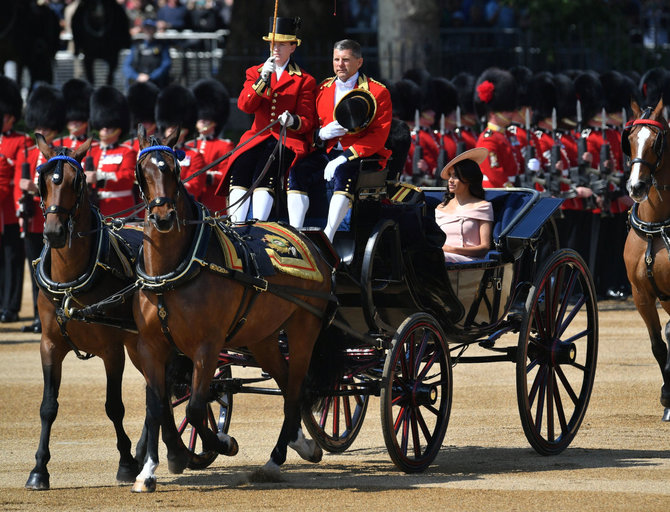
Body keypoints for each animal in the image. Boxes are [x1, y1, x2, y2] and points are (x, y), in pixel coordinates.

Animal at [24, 138, 189, 490]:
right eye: (42, 181)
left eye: (76, 182)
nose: (54, 232)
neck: (71, 280)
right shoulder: (49, 346)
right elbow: (47, 407)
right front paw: (39, 469)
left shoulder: (112, 350)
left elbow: (114, 406)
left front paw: (126, 462)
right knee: (159, 390)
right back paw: (165, 451)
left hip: (144, 344)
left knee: (160, 390)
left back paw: (164, 452)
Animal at [131, 124, 334, 492]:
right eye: (144, 171)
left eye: (174, 169)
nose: (163, 217)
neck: (174, 271)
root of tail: (308, 239)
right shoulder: (151, 347)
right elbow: (157, 407)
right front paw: (151, 468)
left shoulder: (207, 346)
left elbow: (195, 408)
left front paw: (221, 443)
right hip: (262, 338)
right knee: (287, 386)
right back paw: (300, 444)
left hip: (303, 330)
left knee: (296, 388)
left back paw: (275, 459)